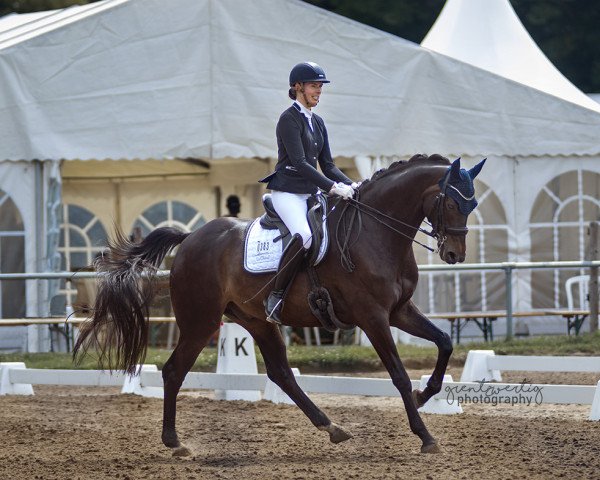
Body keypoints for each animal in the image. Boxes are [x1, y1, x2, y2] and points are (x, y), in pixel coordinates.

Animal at [75, 156, 486, 456]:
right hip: (200, 320)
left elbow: (445, 342)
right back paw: (175, 443)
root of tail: (190, 238)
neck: (376, 233)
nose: (454, 254)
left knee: (281, 373)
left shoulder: (399, 310)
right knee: (174, 370)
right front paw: (425, 436)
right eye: (452, 202)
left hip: (256, 320)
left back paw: (332, 428)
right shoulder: (373, 317)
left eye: (474, 205)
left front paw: (426, 394)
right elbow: (398, 374)